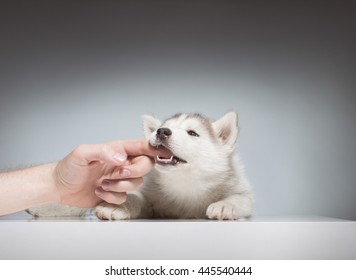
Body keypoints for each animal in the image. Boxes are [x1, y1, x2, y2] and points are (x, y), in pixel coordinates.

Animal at [95, 112, 253, 221]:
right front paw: (118, 206)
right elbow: (136, 198)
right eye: (161, 128)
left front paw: (224, 205)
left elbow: (239, 198)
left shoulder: (240, 189)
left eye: (192, 133)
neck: (186, 181)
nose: (161, 131)